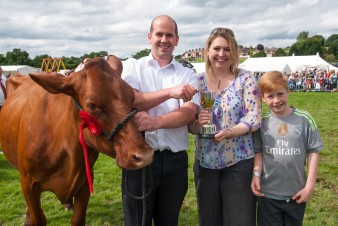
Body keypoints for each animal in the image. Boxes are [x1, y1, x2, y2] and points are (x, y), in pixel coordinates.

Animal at [0, 56, 153, 226]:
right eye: (91, 105)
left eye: (132, 97)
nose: (144, 155)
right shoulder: (28, 183)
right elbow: (38, 218)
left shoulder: (85, 181)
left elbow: (78, 218)